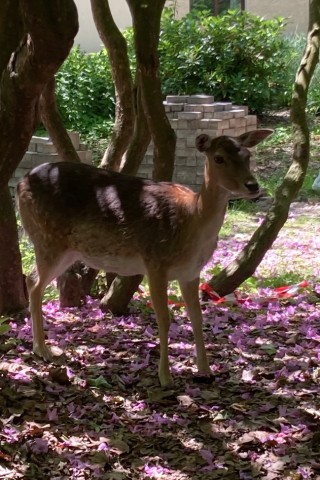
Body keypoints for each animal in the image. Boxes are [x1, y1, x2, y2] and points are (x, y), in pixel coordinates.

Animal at [16, 129, 272, 388]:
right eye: (219, 158)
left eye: (247, 155)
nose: (253, 185)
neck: (192, 218)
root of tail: (19, 183)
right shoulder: (155, 263)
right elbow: (164, 319)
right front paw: (165, 377)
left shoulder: (191, 272)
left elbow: (197, 318)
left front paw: (206, 370)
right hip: (48, 239)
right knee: (34, 282)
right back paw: (42, 350)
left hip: (67, 250)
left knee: (34, 280)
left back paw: (41, 347)